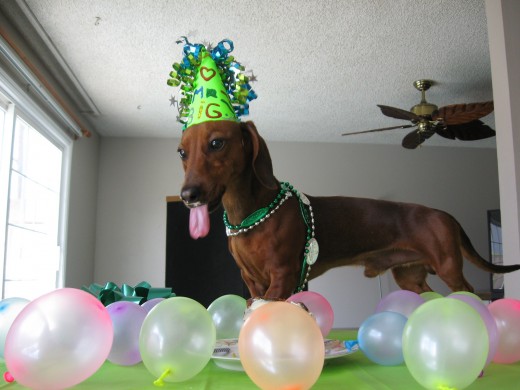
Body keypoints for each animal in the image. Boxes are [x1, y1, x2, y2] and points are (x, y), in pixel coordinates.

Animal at [178, 120, 520, 300]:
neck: (251, 215)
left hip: (449, 267)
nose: (187, 195)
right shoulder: (252, 282)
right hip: (410, 278)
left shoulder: (282, 276)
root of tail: (444, 213)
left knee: (471, 293)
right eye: (182, 151)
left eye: (217, 143)